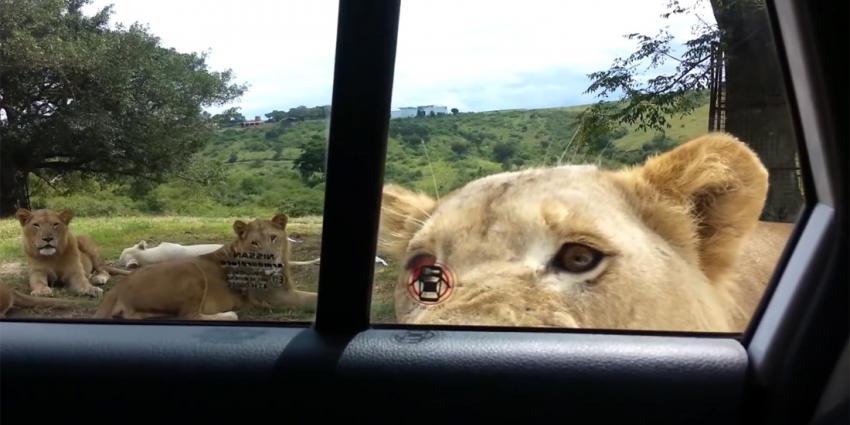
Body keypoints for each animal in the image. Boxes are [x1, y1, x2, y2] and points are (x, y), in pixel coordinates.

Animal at [93, 214, 318, 320]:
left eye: (273, 238)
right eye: (254, 243)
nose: (270, 260)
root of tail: (118, 288)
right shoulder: (275, 297)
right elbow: (310, 299)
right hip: (193, 272)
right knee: (188, 315)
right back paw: (230, 314)